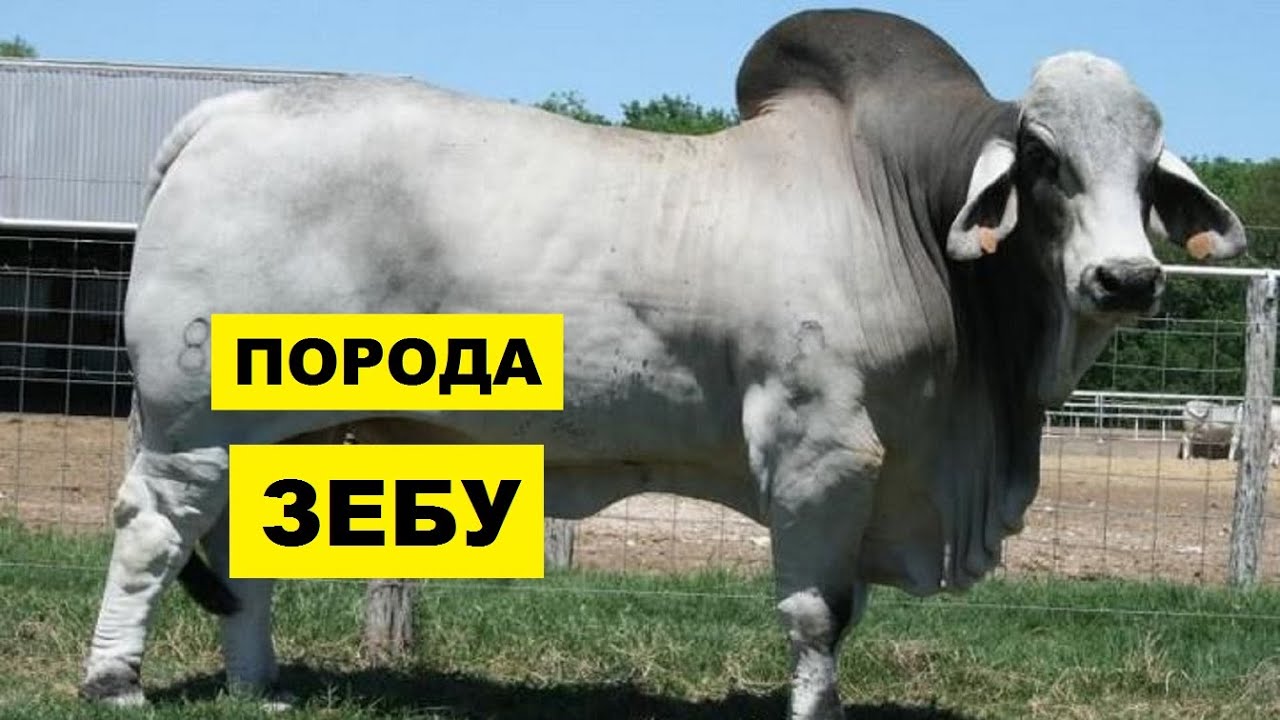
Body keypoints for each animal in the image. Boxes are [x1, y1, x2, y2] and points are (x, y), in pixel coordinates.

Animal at [80, 9, 1245, 719]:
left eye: (1148, 169)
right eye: (1042, 161)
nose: (1124, 279)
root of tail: (225, 113)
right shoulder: (818, 452)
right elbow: (817, 613)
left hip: (282, 432)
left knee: (243, 555)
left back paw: (260, 686)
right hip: (195, 426)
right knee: (152, 531)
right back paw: (113, 681)